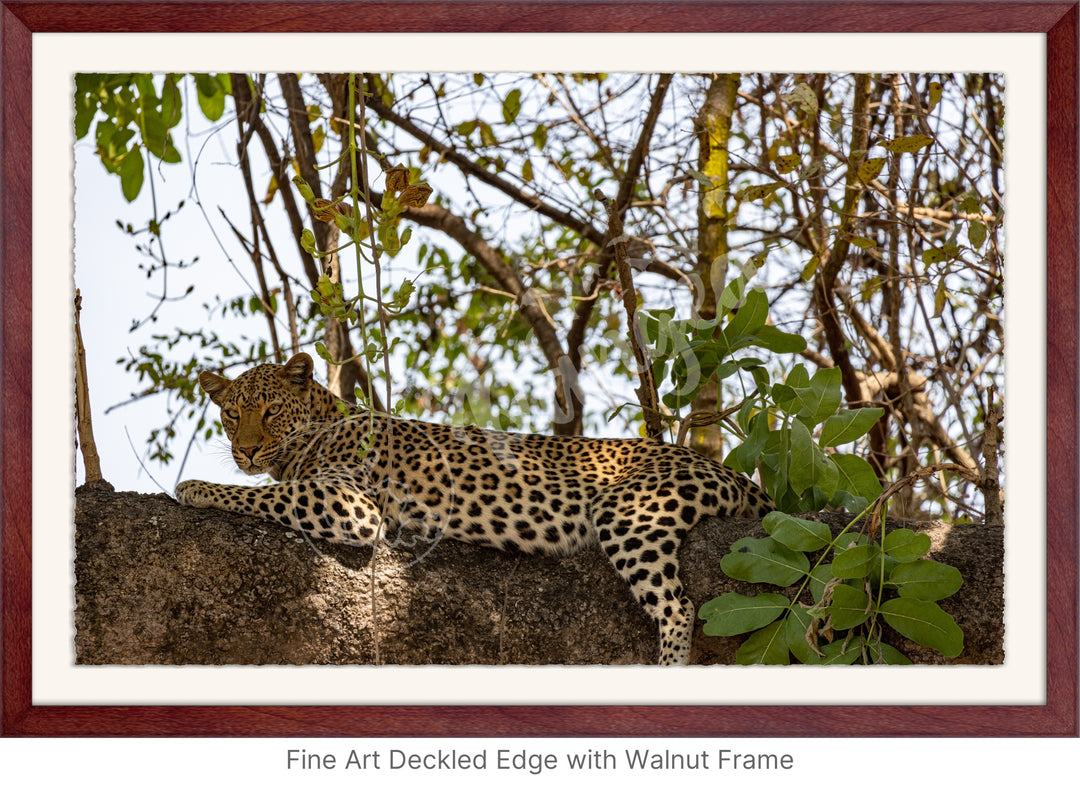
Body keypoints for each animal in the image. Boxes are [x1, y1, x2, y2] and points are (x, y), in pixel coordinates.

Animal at [174, 352, 768, 661]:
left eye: (270, 411)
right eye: (231, 414)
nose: (247, 449)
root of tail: (731, 472)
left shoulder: (349, 501)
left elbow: (265, 494)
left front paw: (194, 486)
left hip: (631, 513)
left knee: (678, 607)